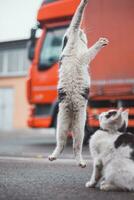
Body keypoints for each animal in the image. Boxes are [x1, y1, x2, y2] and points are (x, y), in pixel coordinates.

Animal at [48, 0, 108, 168]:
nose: (83, 31)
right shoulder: (82, 53)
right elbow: (77, 17)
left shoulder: (83, 57)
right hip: (61, 126)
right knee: (61, 145)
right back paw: (53, 157)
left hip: (79, 128)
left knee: (76, 148)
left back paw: (80, 162)